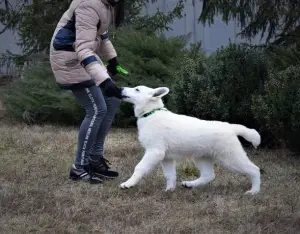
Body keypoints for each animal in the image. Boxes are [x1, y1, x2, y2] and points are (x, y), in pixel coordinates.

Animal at [120, 85, 262, 195]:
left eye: (137, 89)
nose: (120, 88)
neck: (151, 113)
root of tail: (230, 127)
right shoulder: (166, 158)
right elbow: (170, 175)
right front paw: (169, 190)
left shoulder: (154, 151)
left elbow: (139, 167)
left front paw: (129, 183)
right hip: (202, 157)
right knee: (209, 175)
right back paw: (190, 184)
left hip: (230, 158)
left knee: (254, 169)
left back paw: (254, 191)